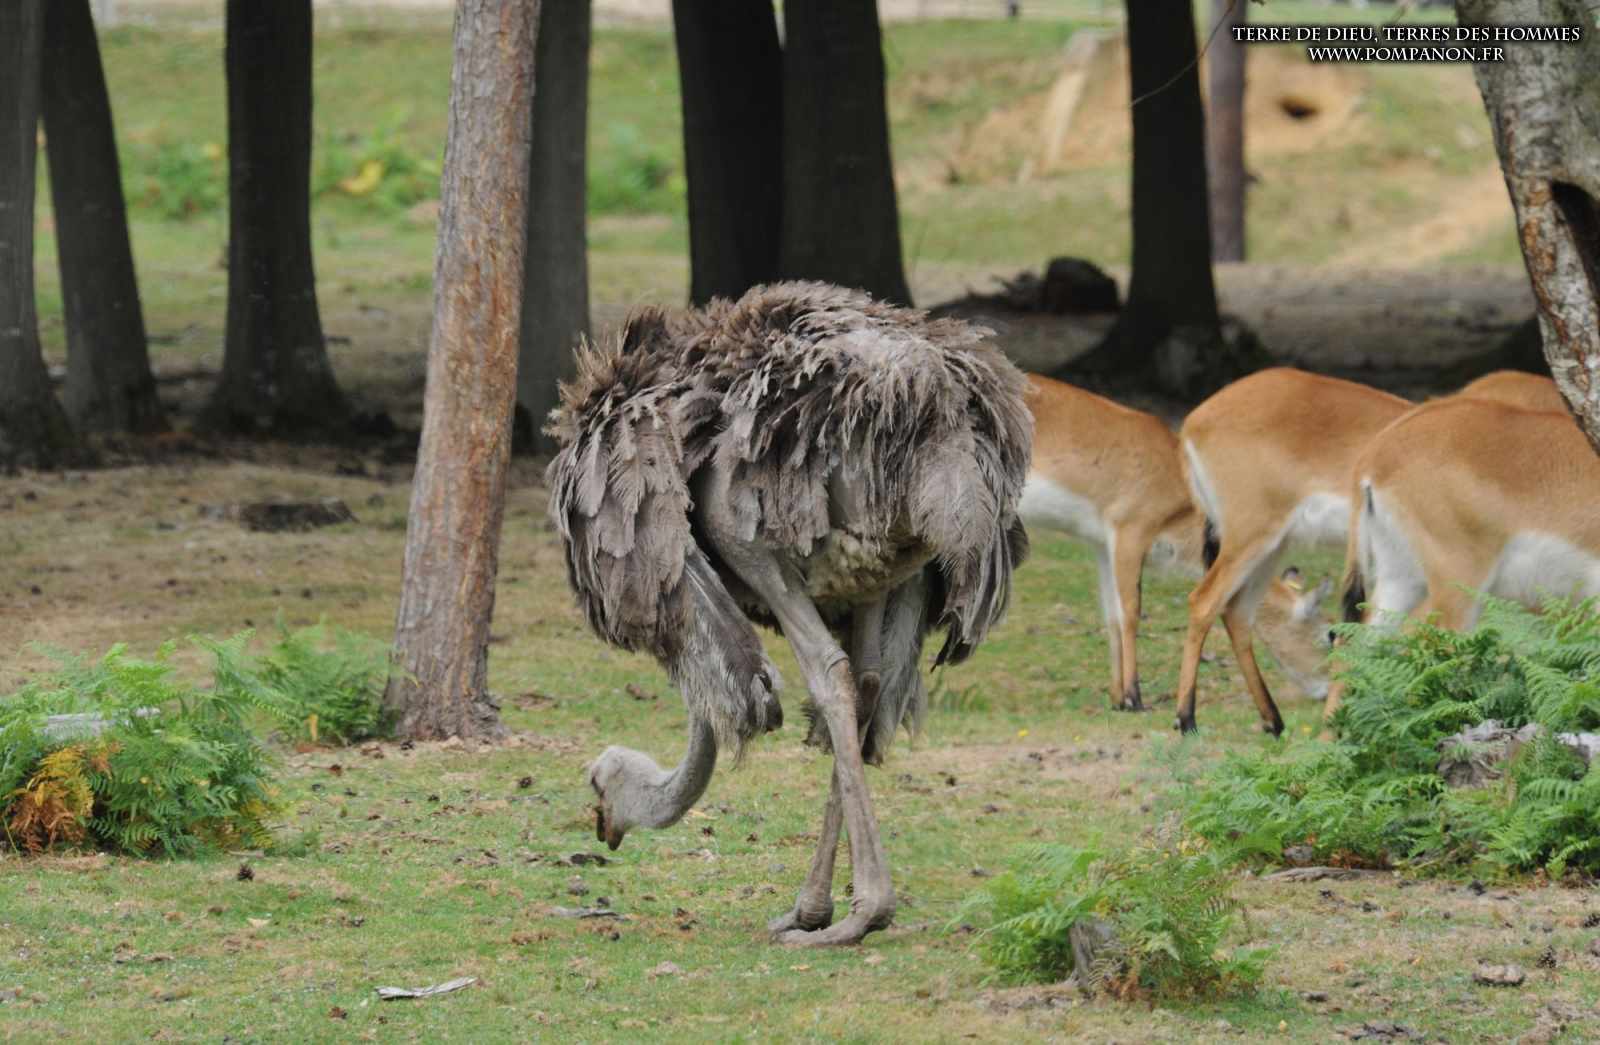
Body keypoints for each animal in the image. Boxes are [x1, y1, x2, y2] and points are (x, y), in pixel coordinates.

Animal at [1018, 374, 1331, 712]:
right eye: (1329, 634)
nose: (1326, 691)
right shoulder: (1131, 535)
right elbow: (1131, 612)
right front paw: (1134, 698)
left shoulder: (1103, 546)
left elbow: (1111, 615)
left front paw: (1117, 699)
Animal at [1174, 368, 1412, 735]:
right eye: (1328, 633)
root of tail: (1194, 421)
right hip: (1250, 540)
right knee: (1203, 602)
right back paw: (1187, 719)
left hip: (1273, 546)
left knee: (1237, 612)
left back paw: (1274, 721)